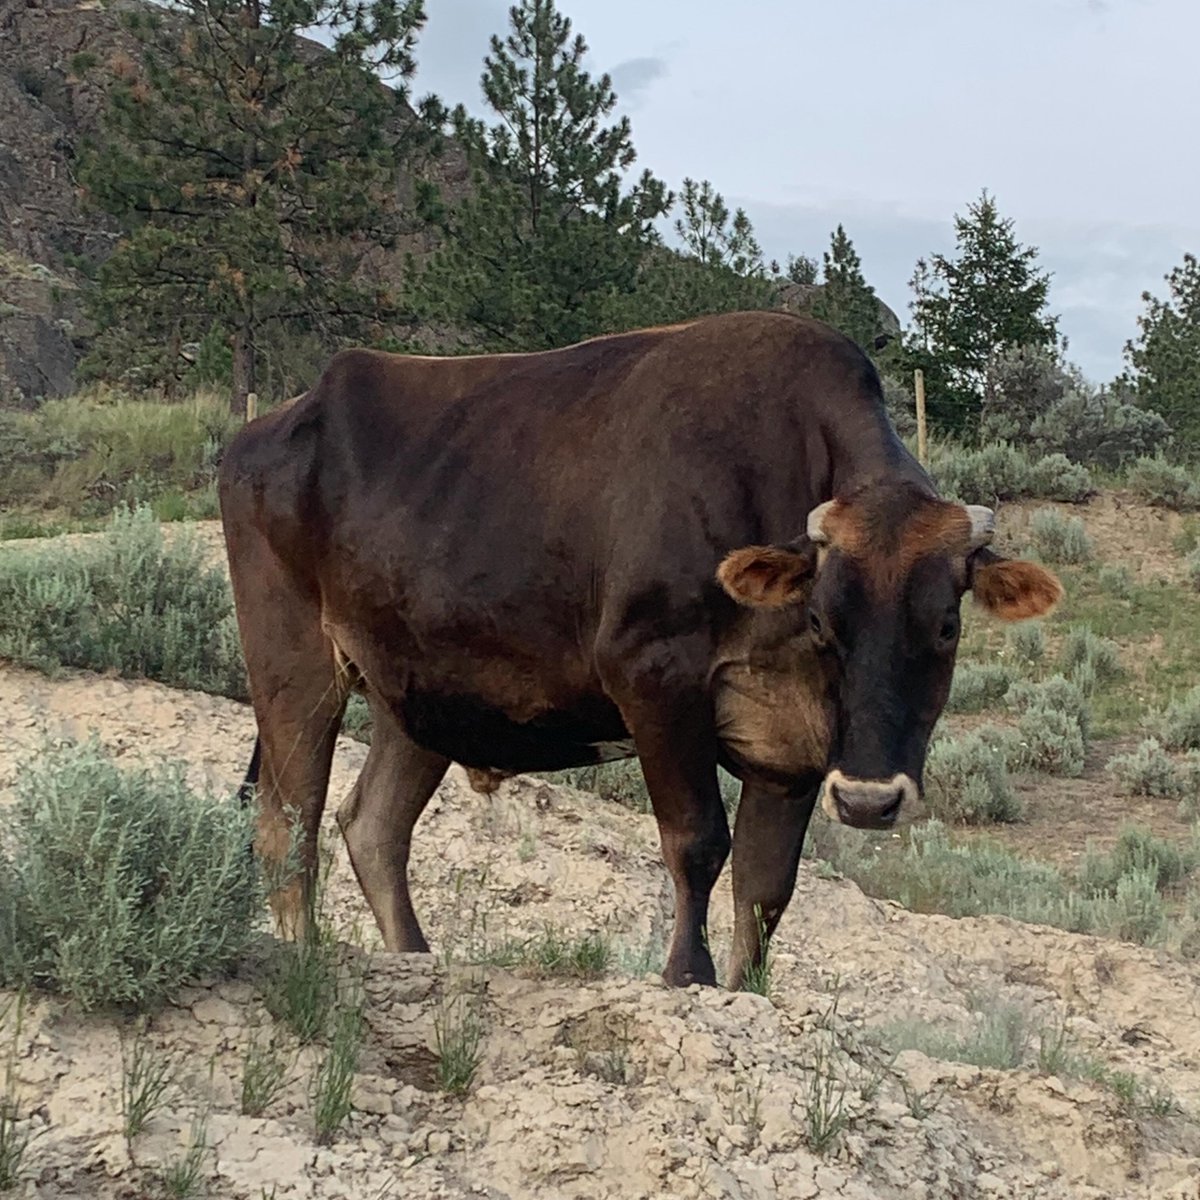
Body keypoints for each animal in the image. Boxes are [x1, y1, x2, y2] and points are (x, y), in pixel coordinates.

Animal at [217, 311, 1063, 990]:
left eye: (947, 627)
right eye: (825, 622)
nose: (868, 800)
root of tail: (276, 421)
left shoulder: (789, 751)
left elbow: (765, 889)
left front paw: (744, 991)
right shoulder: (655, 678)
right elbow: (697, 842)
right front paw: (686, 975)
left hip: (421, 692)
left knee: (372, 825)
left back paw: (416, 961)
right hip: (294, 662)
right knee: (288, 824)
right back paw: (307, 960)